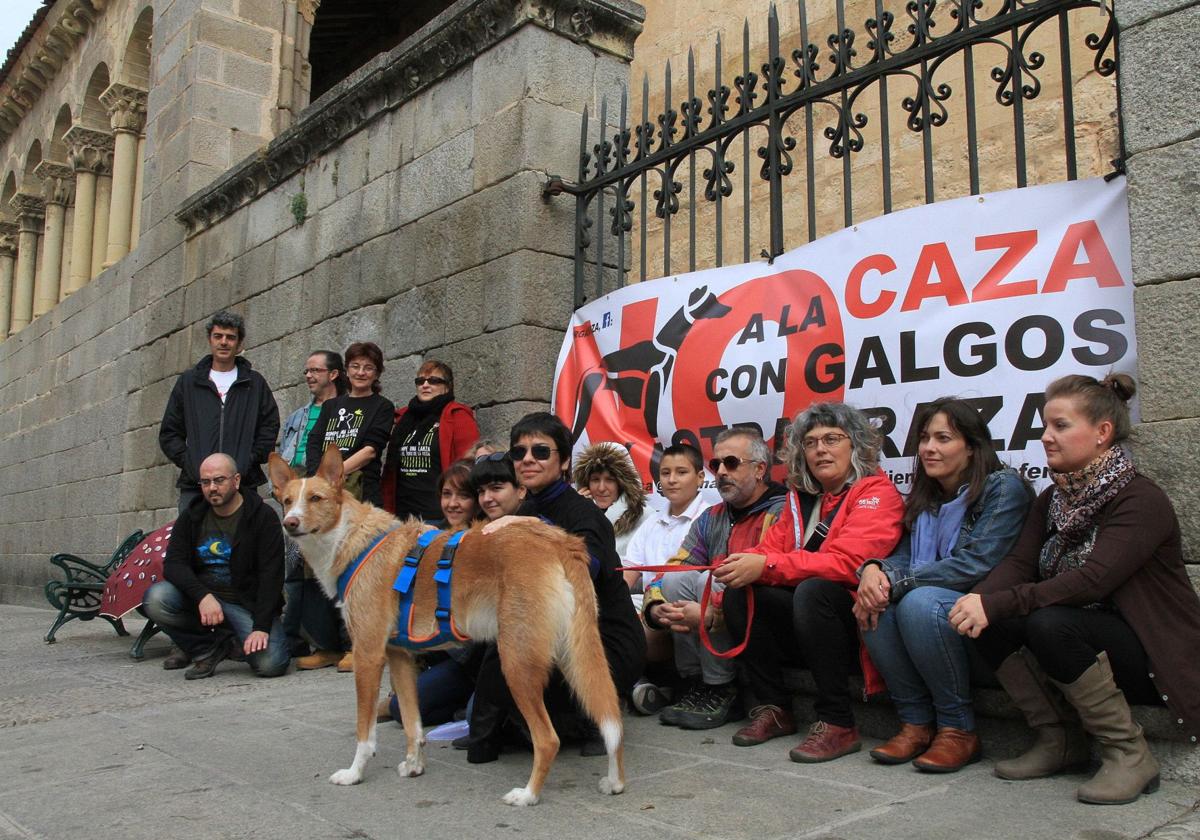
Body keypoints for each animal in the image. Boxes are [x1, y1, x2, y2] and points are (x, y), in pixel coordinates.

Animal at [268, 446, 628, 806]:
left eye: (315, 498)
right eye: (286, 500)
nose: (289, 523)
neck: (352, 537)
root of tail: (560, 541)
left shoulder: (367, 655)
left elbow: (364, 733)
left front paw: (354, 773)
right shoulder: (400, 657)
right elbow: (412, 724)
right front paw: (414, 765)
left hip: (517, 663)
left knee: (548, 739)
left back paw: (528, 794)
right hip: (576, 657)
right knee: (612, 723)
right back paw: (614, 782)